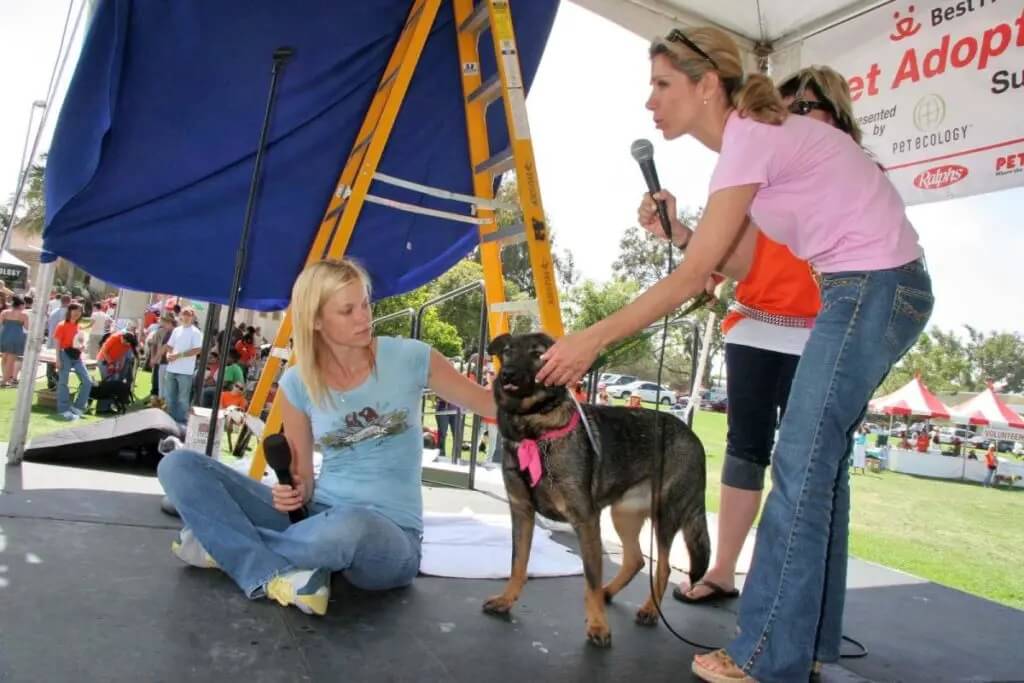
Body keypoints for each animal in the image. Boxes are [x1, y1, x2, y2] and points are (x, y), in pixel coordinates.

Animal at [481, 333, 708, 651]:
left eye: (538, 354)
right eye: (508, 351)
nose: (508, 375)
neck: (533, 431)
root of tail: (692, 435)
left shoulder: (586, 520)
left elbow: (590, 578)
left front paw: (599, 625)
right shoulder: (522, 512)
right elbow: (518, 564)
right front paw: (506, 600)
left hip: (665, 516)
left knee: (661, 567)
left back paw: (649, 610)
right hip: (623, 515)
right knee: (636, 559)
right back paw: (608, 592)